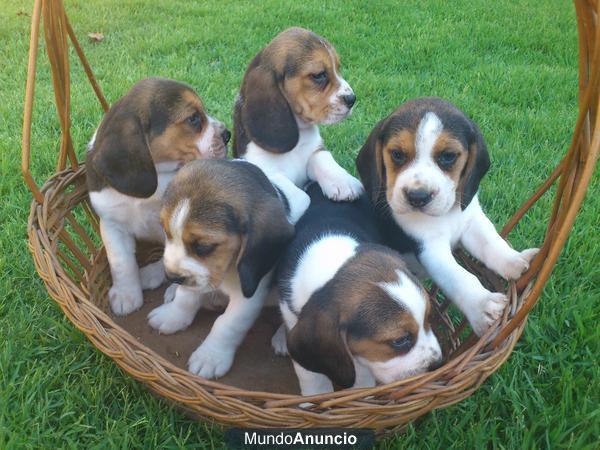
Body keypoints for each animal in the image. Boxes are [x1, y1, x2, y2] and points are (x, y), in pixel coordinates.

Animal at [85, 77, 231, 316]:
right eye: (193, 118)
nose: (227, 134)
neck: (159, 171)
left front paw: (174, 290)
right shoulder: (111, 223)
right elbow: (121, 262)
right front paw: (126, 295)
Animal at [146, 160, 310, 378]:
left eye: (204, 246)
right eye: (166, 232)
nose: (171, 276)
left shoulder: (248, 295)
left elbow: (227, 324)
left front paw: (210, 357)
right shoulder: (195, 278)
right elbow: (185, 298)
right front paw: (172, 316)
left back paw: (283, 338)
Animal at [233, 25, 366, 200]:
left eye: (338, 68)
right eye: (319, 75)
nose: (352, 99)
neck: (300, 130)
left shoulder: (313, 151)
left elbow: (323, 158)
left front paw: (344, 182)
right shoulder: (265, 169)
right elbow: (294, 192)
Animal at [278, 182, 442, 394]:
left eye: (429, 318)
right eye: (399, 341)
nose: (438, 364)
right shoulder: (291, 314)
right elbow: (311, 375)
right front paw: (315, 396)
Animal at [356, 99, 540, 338]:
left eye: (448, 156)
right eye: (397, 154)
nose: (417, 197)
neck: (445, 215)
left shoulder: (472, 221)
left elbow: (491, 242)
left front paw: (514, 261)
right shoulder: (431, 249)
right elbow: (458, 276)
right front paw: (483, 306)